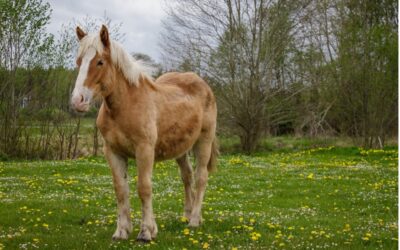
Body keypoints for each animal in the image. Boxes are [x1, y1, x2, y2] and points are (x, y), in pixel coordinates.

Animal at [69, 24, 219, 241]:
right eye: (79, 61)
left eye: (100, 62)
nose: (78, 101)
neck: (125, 106)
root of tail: (203, 84)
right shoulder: (113, 152)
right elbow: (121, 190)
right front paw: (122, 231)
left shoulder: (145, 150)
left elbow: (144, 188)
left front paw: (146, 231)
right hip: (181, 149)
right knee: (187, 176)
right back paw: (187, 214)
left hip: (204, 142)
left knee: (201, 177)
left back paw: (194, 220)